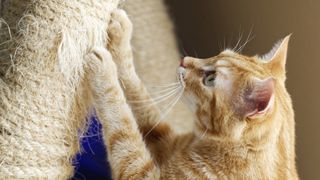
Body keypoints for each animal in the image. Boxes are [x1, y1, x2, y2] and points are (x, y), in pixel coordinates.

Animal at [86, 8, 298, 180]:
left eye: (210, 79)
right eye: (219, 53)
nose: (184, 60)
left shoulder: (140, 172)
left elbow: (122, 124)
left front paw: (104, 72)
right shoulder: (163, 138)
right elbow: (137, 92)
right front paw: (121, 36)